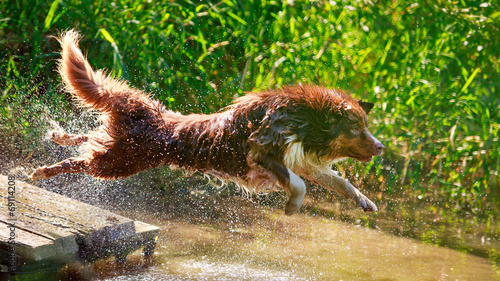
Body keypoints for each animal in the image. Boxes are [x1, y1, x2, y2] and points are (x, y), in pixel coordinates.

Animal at [31, 30, 382, 214]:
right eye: (357, 129)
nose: (379, 146)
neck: (306, 120)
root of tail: (148, 111)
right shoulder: (261, 150)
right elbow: (299, 184)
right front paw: (292, 206)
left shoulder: (302, 159)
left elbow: (339, 182)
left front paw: (365, 201)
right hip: (118, 163)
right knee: (80, 161)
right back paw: (42, 170)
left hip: (116, 146)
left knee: (88, 138)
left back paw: (59, 136)